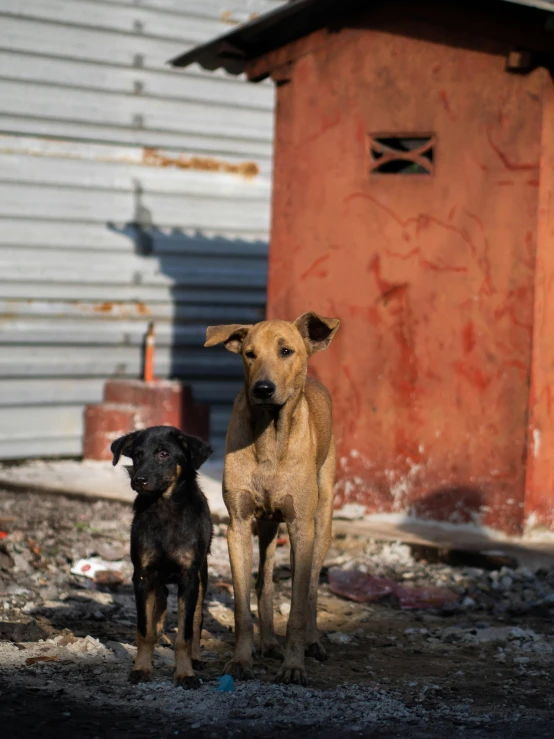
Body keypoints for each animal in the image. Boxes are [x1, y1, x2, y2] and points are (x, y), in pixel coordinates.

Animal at [109, 424, 211, 692]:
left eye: (164, 454)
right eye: (137, 455)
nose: (139, 480)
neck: (164, 508)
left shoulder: (188, 578)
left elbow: (185, 633)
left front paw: (185, 673)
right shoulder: (142, 576)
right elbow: (145, 630)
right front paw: (142, 668)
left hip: (202, 576)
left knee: (197, 620)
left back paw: (196, 658)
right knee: (159, 605)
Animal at [205, 312, 338, 688]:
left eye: (286, 351)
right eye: (249, 354)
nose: (262, 389)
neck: (269, 436)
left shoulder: (301, 526)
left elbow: (298, 606)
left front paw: (294, 666)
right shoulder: (238, 524)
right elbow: (242, 604)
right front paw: (240, 660)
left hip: (321, 521)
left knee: (311, 587)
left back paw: (312, 643)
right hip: (265, 526)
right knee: (264, 581)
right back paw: (266, 642)